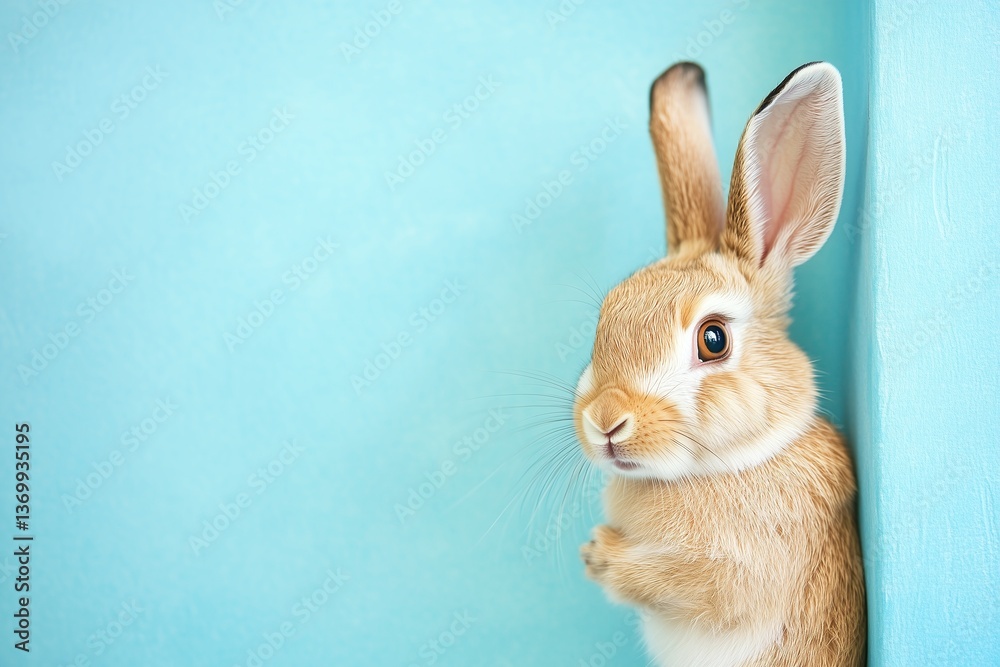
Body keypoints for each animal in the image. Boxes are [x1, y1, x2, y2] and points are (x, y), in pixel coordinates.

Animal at [575, 62, 866, 667]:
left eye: (713, 340)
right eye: (605, 318)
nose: (605, 421)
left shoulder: (742, 571)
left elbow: (688, 584)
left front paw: (600, 556)